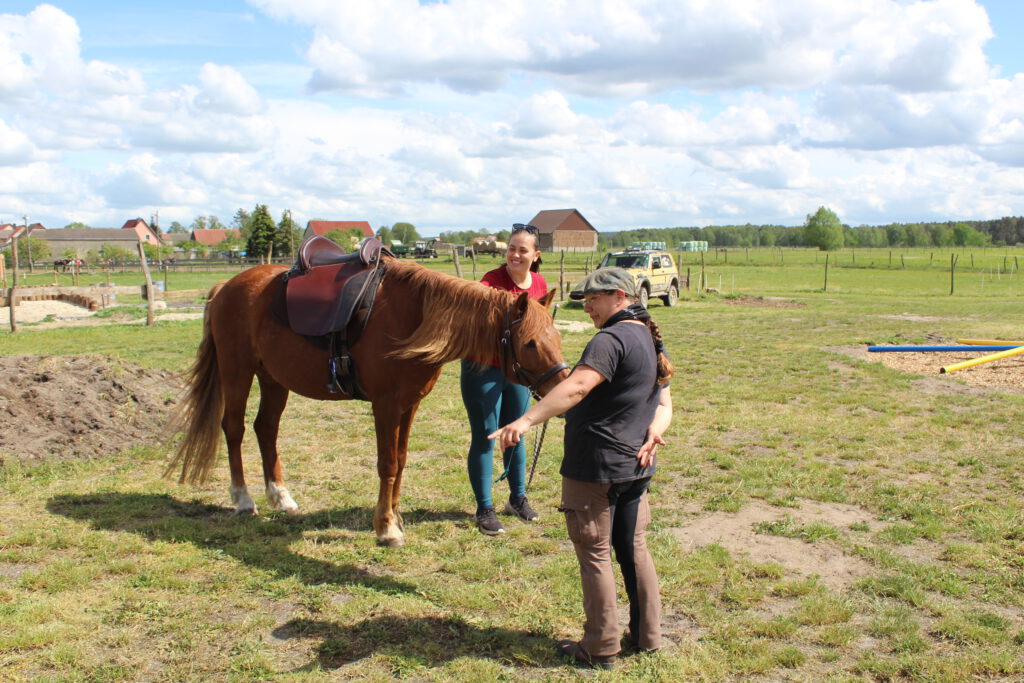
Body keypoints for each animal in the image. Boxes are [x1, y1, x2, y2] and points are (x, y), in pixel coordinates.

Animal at [167, 259, 569, 548]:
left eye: (557, 336)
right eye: (530, 343)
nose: (563, 386)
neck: (415, 318)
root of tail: (226, 286)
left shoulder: (410, 404)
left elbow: (402, 461)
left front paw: (396, 517)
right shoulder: (386, 405)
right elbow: (387, 464)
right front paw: (386, 528)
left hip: (273, 379)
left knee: (265, 429)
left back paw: (281, 498)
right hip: (237, 371)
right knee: (233, 429)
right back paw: (243, 499)